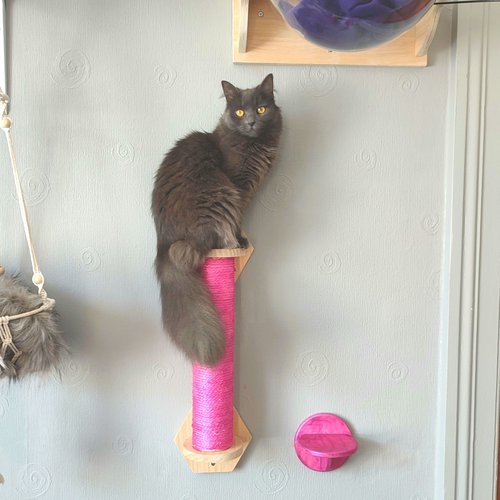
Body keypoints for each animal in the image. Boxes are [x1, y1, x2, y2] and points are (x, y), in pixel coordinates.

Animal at [150, 73, 284, 364]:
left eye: (261, 109)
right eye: (240, 112)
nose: (251, 122)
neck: (253, 145)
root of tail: (164, 245)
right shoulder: (239, 187)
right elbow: (238, 221)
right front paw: (240, 240)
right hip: (220, 194)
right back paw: (231, 244)